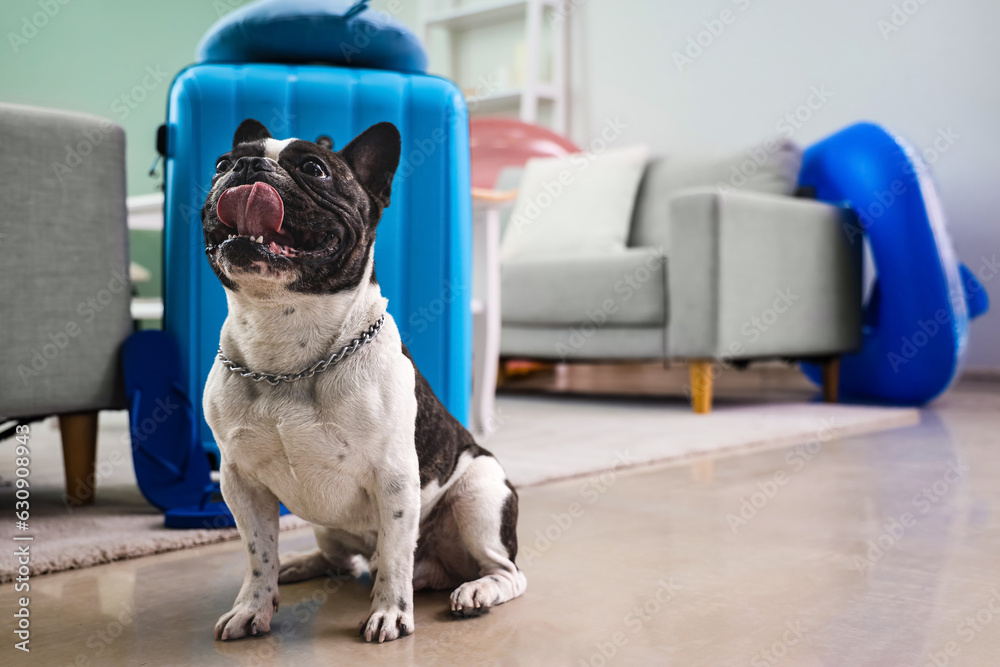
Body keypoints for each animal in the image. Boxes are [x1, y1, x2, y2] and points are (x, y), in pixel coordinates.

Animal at [205, 118, 532, 640]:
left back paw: (477, 591)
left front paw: (391, 613)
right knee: (343, 561)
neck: (286, 340)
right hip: (329, 527)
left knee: (502, 570)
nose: (247, 166)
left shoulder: (395, 480)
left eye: (313, 169)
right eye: (220, 164)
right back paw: (300, 563)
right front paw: (252, 607)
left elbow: (397, 554)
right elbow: (258, 554)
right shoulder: (242, 484)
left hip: (480, 496)